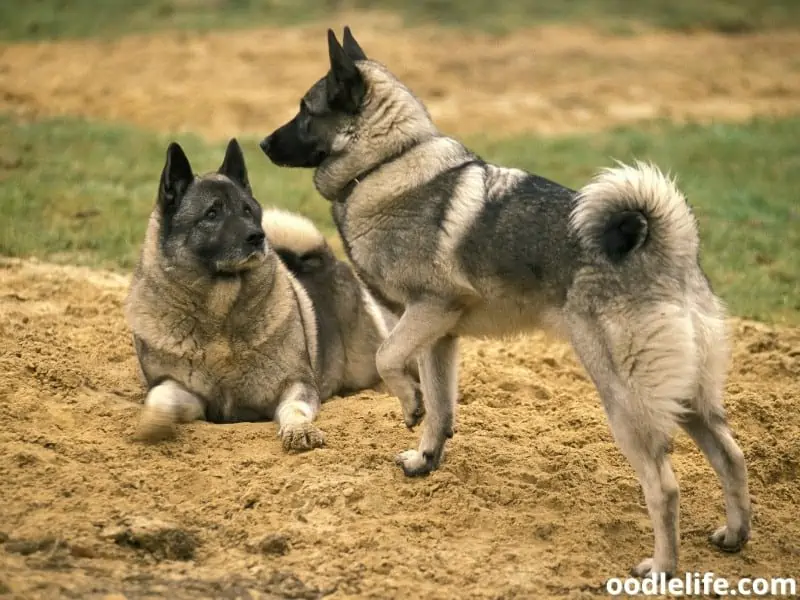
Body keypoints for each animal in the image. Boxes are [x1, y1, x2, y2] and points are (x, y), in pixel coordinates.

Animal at [126, 138, 396, 450]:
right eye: (211, 214)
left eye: (247, 211)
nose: (257, 236)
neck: (219, 315)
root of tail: (325, 259)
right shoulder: (185, 392)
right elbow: (161, 397)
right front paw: (152, 422)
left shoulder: (296, 384)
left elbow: (294, 408)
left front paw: (299, 430)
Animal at [260, 28, 752, 576]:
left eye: (306, 110)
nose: (262, 143)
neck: (388, 161)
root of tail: (671, 250)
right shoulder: (440, 336)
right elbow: (442, 408)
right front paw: (425, 459)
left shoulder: (428, 311)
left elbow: (390, 361)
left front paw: (408, 405)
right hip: (687, 396)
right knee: (731, 457)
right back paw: (735, 535)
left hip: (626, 399)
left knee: (664, 487)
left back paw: (662, 567)